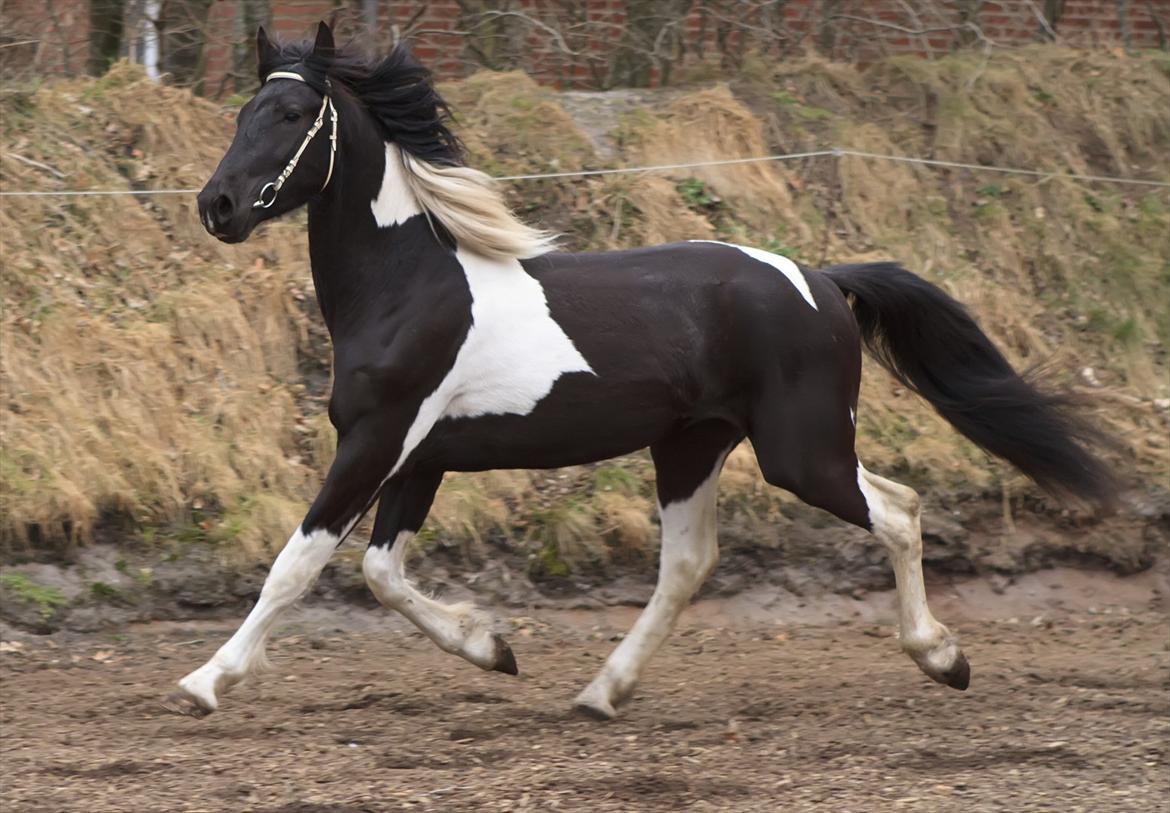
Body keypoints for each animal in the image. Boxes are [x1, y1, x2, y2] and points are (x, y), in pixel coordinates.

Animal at [160, 25, 1109, 720]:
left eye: (293, 114)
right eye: (244, 110)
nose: (217, 206)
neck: (406, 285)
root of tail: (820, 280)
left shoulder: (376, 440)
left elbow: (299, 561)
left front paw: (206, 681)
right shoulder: (419, 458)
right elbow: (381, 573)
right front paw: (494, 646)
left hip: (800, 452)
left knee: (900, 510)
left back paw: (944, 658)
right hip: (692, 445)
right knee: (689, 563)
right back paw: (600, 692)